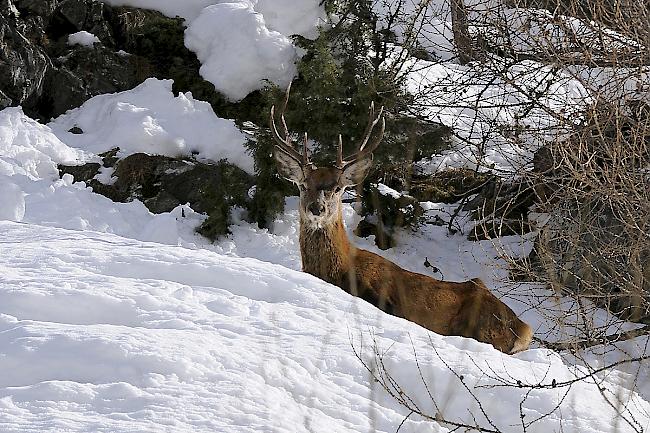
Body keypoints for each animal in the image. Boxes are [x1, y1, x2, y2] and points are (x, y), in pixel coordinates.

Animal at [268, 86, 532, 352]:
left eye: (338, 188)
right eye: (303, 185)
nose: (317, 208)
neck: (338, 269)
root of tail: (523, 329)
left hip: (478, 327)